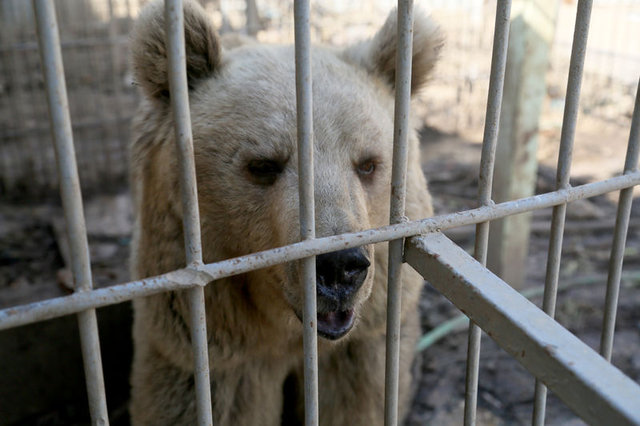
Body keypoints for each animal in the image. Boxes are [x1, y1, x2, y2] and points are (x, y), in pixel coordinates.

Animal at [129, 1, 440, 424]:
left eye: (368, 164)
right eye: (263, 164)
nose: (339, 266)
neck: (288, 332)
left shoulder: (362, 343)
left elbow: (358, 402)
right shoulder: (209, 351)